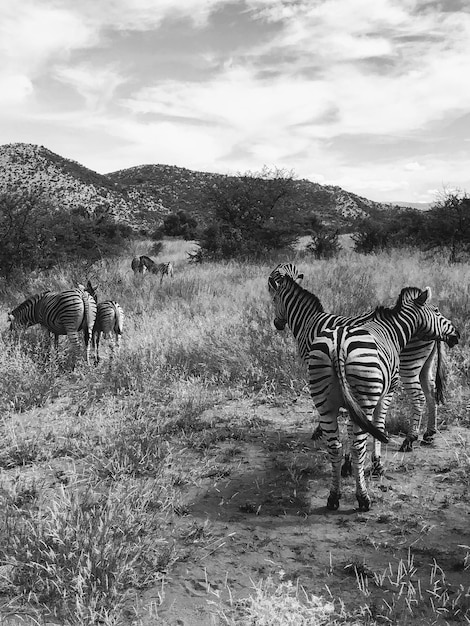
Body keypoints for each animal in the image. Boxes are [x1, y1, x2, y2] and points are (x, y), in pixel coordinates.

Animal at [268, 262, 448, 448]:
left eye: (274, 300)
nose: (277, 324)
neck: (308, 321)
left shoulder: (312, 362)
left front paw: (320, 429)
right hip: (425, 363)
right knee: (430, 391)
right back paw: (429, 434)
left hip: (408, 363)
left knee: (418, 396)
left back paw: (410, 439)